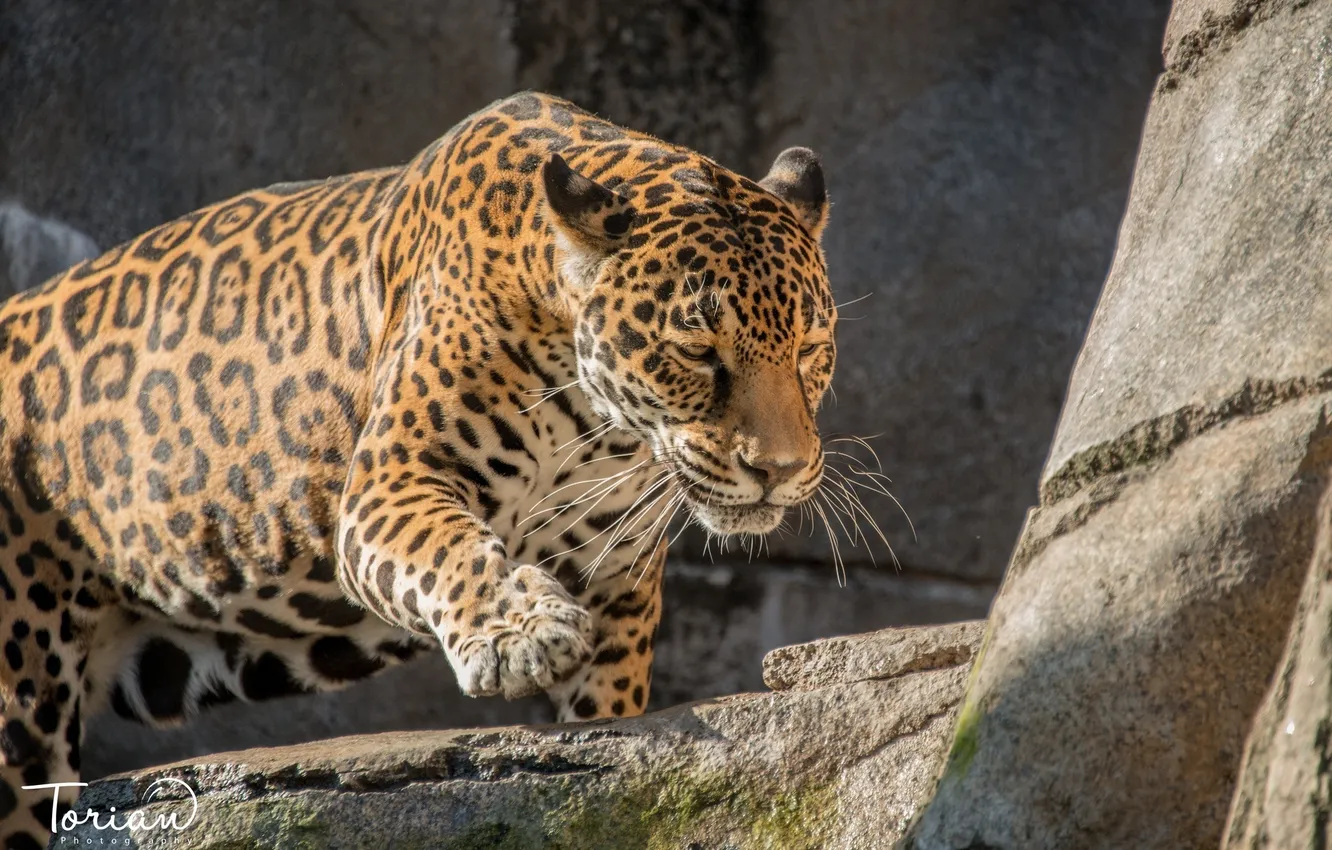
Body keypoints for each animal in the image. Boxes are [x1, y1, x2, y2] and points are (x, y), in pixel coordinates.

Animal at [0, 91, 837, 847]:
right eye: (696, 352)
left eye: (809, 349)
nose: (779, 469)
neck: (601, 426)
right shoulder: (392, 482)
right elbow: (449, 549)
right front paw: (520, 632)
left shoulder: (617, 577)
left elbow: (611, 723)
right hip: (21, 694)